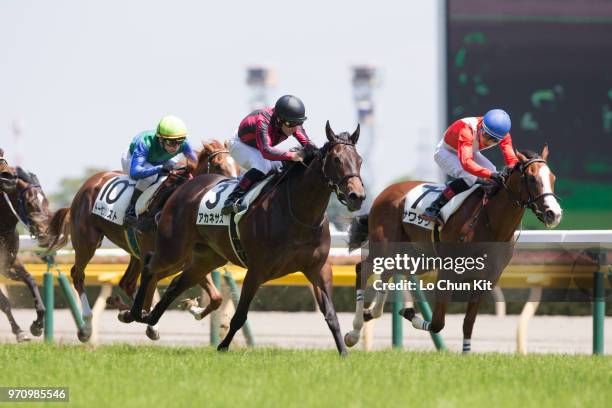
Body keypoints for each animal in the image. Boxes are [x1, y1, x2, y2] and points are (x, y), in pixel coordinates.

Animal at [0, 155, 52, 342]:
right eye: (29, 203)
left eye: (46, 201)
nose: (46, 233)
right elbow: (4, 302)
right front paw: (19, 331)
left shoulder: (8, 264)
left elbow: (30, 280)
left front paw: (37, 326)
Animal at [42, 140, 239, 342]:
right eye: (218, 166)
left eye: (238, 166)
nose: (233, 193)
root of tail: (89, 183)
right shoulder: (162, 257)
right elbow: (149, 293)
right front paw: (140, 316)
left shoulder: (188, 260)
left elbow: (216, 298)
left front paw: (192, 307)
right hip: (87, 242)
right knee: (78, 275)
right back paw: (87, 327)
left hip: (134, 252)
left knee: (127, 283)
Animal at [122, 122, 366, 354]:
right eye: (336, 159)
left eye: (360, 160)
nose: (357, 196)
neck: (299, 213)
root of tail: (185, 186)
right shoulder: (257, 270)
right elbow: (239, 316)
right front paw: (222, 347)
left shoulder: (318, 268)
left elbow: (331, 315)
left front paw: (344, 352)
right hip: (173, 248)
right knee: (150, 265)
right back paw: (134, 313)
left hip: (207, 257)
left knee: (175, 283)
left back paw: (150, 316)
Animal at [342, 147, 560, 354]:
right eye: (531, 178)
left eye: (552, 178)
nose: (554, 214)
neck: (491, 225)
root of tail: (386, 192)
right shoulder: (448, 271)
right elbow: (437, 322)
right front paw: (409, 312)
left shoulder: (487, 278)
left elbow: (468, 322)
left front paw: (466, 354)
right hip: (385, 246)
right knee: (364, 269)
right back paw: (354, 332)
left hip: (417, 257)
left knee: (387, 272)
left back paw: (371, 312)